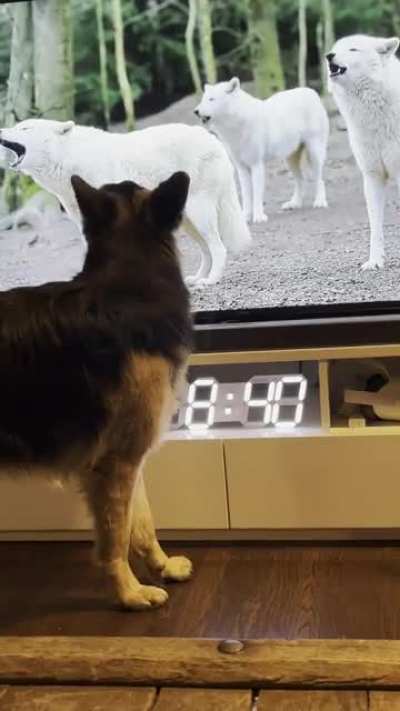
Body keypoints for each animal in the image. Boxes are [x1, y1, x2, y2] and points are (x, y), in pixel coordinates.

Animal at [0, 119, 251, 286]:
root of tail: (210, 136)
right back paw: (197, 278)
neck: (71, 161)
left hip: (200, 214)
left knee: (219, 247)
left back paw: (210, 281)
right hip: (188, 221)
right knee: (206, 250)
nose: (1, 130)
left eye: (24, 128)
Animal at [0, 171, 193, 610]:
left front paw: (161, 566)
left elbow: (142, 523)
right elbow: (115, 539)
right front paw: (129, 593)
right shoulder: (115, 462)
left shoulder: (130, 457)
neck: (124, 281)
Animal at [194, 78, 329, 223]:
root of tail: (311, 91)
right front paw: (245, 217)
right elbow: (246, 195)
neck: (235, 126)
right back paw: (294, 204)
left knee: (319, 179)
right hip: (290, 160)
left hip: (314, 154)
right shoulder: (241, 168)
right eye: (203, 99)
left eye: (211, 99)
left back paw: (320, 202)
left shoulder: (256, 165)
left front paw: (258, 216)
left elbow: (257, 194)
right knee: (300, 181)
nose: (195, 111)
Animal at [327, 34, 400, 270]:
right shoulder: (372, 176)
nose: (328, 55)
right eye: (335, 48)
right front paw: (375, 261)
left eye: (353, 49)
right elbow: (375, 226)